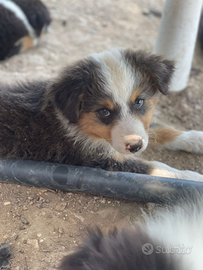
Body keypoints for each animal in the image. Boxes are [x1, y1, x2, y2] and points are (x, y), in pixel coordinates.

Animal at [0, 48, 203, 181]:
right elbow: (154, 166)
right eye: (104, 111)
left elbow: (160, 129)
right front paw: (191, 176)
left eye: (139, 102)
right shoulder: (98, 160)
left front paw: (195, 138)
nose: (135, 146)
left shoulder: (141, 130)